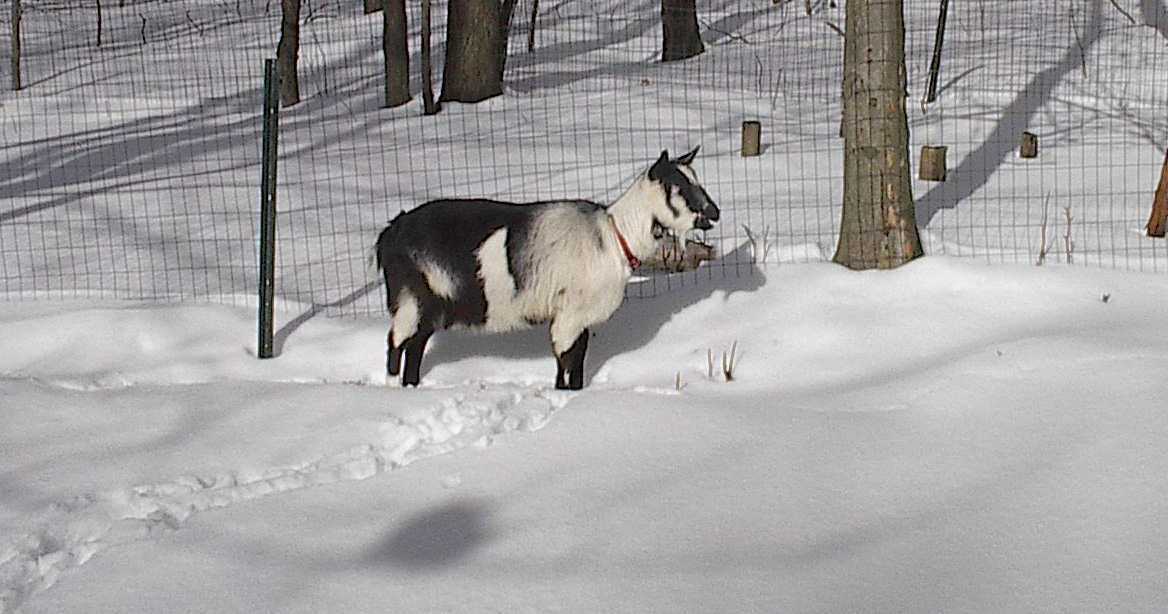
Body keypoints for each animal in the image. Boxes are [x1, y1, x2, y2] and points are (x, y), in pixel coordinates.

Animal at [374, 147, 719, 390]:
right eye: (677, 187)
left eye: (698, 180)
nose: (714, 213)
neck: (612, 237)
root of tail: (391, 233)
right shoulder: (568, 315)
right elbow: (567, 364)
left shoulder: (579, 318)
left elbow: (574, 364)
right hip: (410, 298)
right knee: (396, 343)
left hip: (430, 304)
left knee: (415, 346)